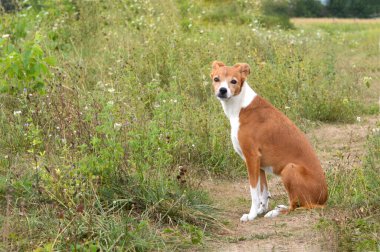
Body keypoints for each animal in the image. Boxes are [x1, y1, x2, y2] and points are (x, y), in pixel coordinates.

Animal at [209, 60, 328, 220]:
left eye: (233, 81)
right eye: (216, 79)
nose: (222, 90)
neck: (241, 107)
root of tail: (324, 199)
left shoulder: (251, 157)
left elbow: (254, 192)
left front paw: (251, 215)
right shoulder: (259, 164)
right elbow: (263, 192)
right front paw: (261, 210)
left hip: (289, 169)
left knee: (295, 206)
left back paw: (276, 212)